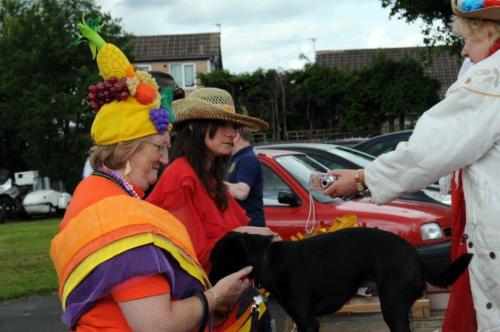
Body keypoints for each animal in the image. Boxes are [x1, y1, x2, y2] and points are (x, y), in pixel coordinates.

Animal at [210, 228, 472, 332]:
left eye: (215, 260)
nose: (209, 280)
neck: (267, 258)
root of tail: (415, 255)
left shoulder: (307, 321)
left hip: (392, 307)